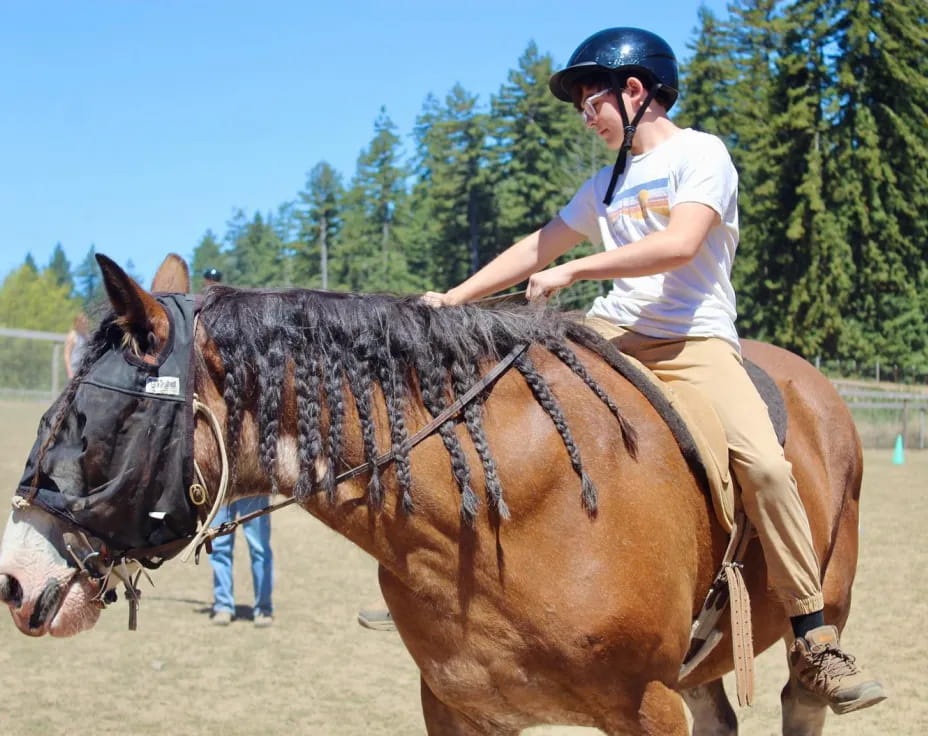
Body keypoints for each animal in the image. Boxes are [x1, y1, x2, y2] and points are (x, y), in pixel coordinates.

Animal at [3, 254, 868, 736]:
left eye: (93, 418)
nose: (14, 579)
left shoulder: (649, 707)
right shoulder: (460, 710)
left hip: (818, 609)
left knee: (802, 694)